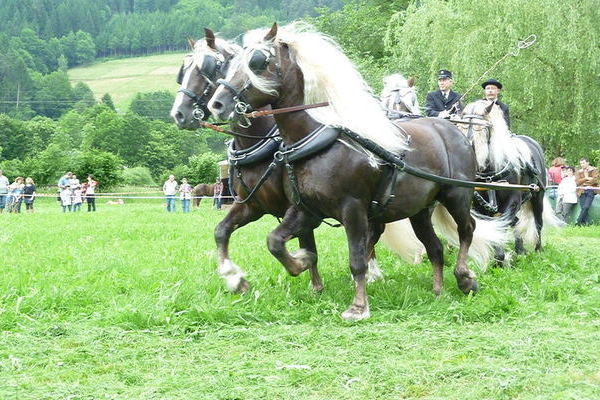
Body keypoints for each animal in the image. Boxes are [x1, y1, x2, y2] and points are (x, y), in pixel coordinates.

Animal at [169, 28, 422, 292]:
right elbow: (221, 231)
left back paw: (372, 272)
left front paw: (314, 283)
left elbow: (305, 244)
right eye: (183, 71)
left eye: (207, 67)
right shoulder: (252, 205)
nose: (179, 114)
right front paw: (234, 277)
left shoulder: (302, 208)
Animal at [209, 22, 508, 322]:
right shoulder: (305, 210)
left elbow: (357, 259)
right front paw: (300, 261)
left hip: (457, 195)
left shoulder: (352, 209)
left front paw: (358, 306)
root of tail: (453, 130)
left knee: (466, 230)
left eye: (258, 62)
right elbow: (274, 241)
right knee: (434, 247)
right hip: (420, 210)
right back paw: (437, 290)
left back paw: (465, 277)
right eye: (230, 64)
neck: (316, 140)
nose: (217, 104)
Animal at [458, 98, 560, 258]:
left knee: (538, 222)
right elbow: (494, 227)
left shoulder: (513, 201)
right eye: (460, 126)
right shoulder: (478, 206)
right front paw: (500, 256)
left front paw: (500, 256)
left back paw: (538, 249)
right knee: (516, 222)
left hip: (538, 196)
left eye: (480, 129)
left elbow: (502, 223)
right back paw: (520, 249)